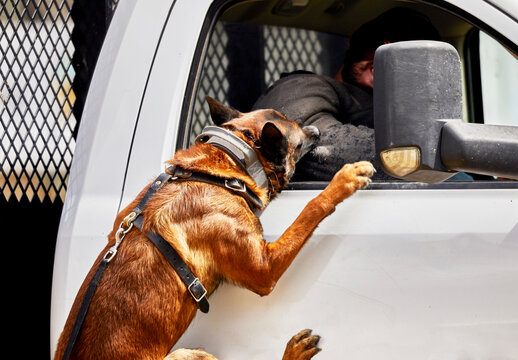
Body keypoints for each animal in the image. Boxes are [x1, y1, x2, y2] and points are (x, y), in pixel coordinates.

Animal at [54, 97, 376, 358]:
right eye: (297, 142)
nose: (318, 131)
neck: (228, 165)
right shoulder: (264, 269)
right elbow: (311, 208)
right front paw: (345, 179)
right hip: (189, 355)